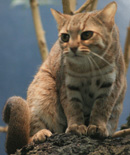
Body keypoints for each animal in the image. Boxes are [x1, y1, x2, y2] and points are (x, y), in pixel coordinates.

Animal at [2, 1, 127, 154]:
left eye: (87, 34)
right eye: (65, 37)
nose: (72, 48)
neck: (88, 68)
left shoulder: (112, 85)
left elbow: (101, 108)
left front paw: (98, 127)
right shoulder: (67, 85)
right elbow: (72, 107)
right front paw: (76, 126)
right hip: (42, 90)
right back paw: (40, 134)